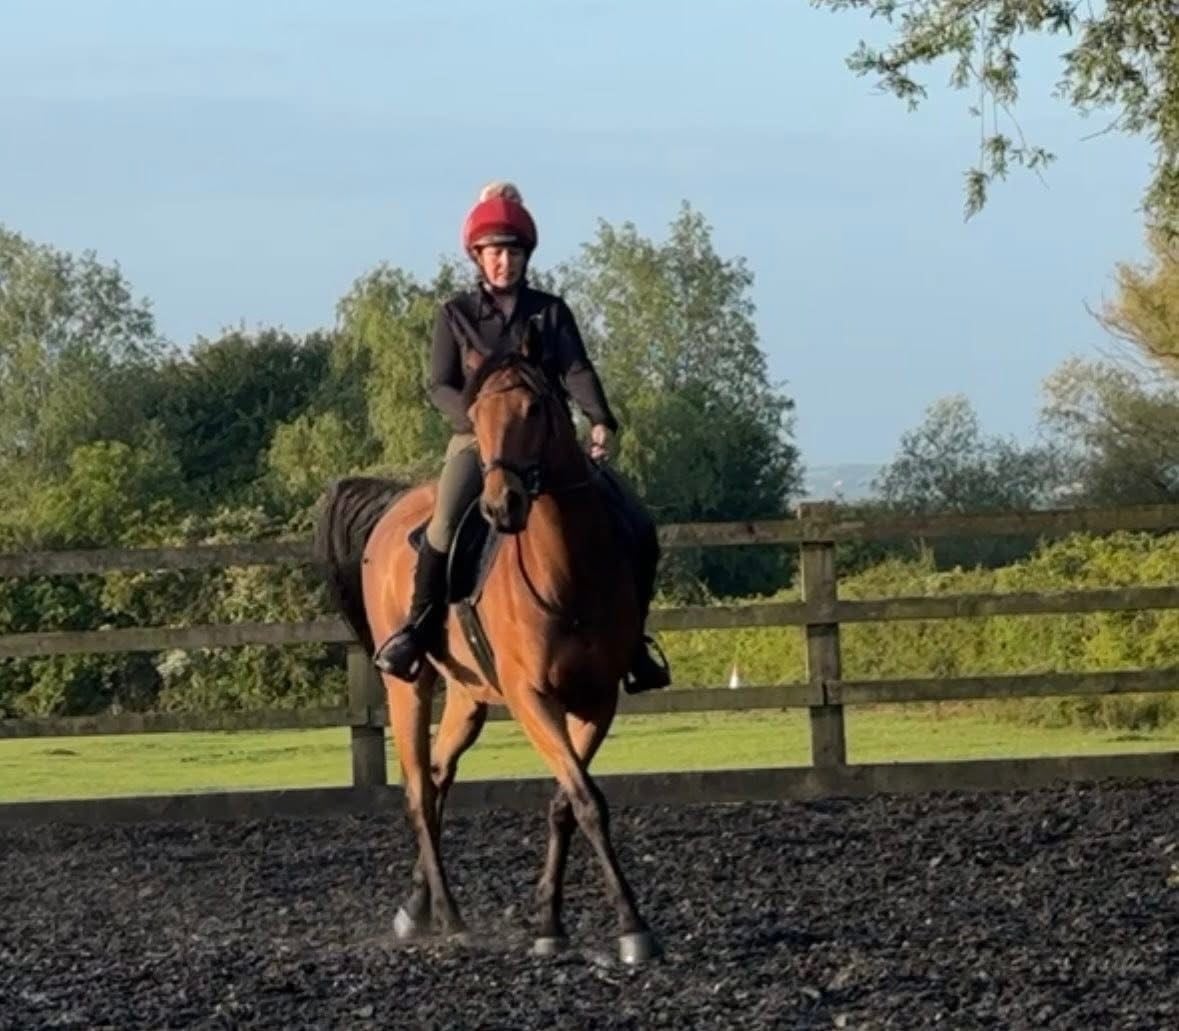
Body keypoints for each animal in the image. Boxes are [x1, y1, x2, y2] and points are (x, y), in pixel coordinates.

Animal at [312, 347, 660, 965]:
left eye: (535, 409)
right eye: (476, 415)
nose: (502, 504)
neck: (568, 571)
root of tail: (395, 503)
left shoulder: (597, 700)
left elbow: (567, 801)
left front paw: (549, 922)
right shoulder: (531, 699)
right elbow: (587, 799)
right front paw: (631, 926)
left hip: (468, 695)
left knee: (438, 774)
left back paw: (416, 907)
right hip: (409, 685)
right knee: (418, 790)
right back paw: (448, 917)